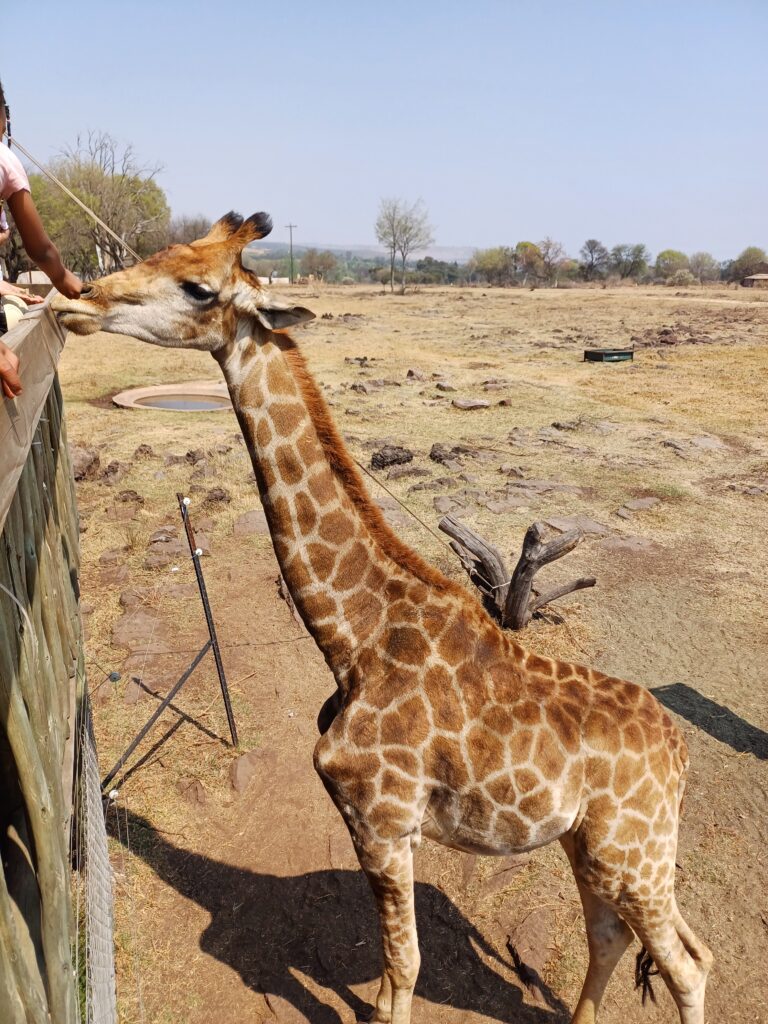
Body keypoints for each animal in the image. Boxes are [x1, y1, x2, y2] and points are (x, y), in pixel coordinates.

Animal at [53, 212, 712, 1024]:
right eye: (164, 252)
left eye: (198, 287)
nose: (76, 301)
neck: (351, 636)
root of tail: (681, 757)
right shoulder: (386, 827)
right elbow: (393, 973)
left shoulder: (381, 821)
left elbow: (403, 970)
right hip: (592, 847)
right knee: (611, 937)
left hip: (633, 853)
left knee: (685, 965)